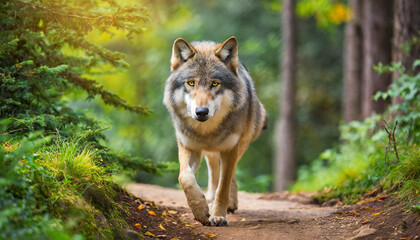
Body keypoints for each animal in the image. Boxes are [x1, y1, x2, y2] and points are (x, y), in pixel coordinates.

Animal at [162, 36, 266, 226]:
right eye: (191, 83)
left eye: (215, 83)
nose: (202, 112)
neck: (207, 133)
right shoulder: (189, 147)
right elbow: (185, 178)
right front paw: (201, 210)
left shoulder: (230, 148)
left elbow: (223, 186)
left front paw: (218, 215)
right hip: (211, 153)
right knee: (213, 171)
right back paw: (209, 199)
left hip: (240, 145)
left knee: (229, 174)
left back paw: (229, 203)